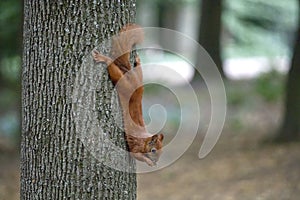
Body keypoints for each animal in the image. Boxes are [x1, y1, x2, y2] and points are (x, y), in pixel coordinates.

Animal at [93, 24, 165, 166]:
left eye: (162, 151)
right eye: (153, 150)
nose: (156, 161)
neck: (144, 140)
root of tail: (128, 72)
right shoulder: (135, 146)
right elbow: (137, 156)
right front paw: (149, 162)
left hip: (139, 79)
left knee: (138, 71)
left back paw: (138, 61)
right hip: (123, 84)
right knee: (112, 67)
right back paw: (104, 59)